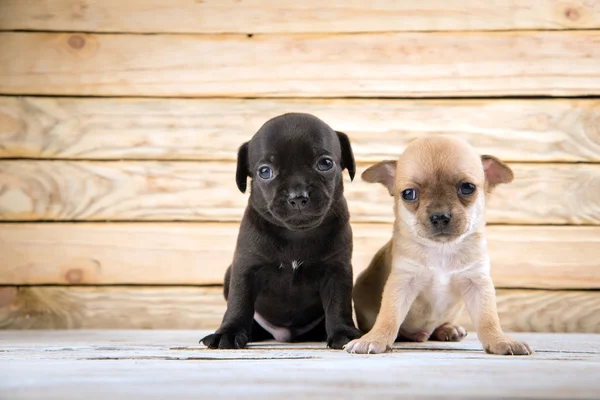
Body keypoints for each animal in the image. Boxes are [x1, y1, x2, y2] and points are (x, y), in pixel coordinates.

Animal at [200, 112, 360, 350]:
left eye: (325, 163)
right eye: (265, 172)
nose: (298, 195)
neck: (296, 233)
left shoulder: (337, 270)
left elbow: (338, 303)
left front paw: (343, 332)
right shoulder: (246, 268)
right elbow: (239, 301)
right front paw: (228, 332)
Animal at [346, 136, 536, 354]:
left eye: (467, 187)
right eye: (408, 194)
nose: (439, 216)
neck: (443, 249)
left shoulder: (477, 284)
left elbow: (488, 318)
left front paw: (500, 340)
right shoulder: (402, 283)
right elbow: (388, 316)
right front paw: (374, 338)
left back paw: (448, 329)